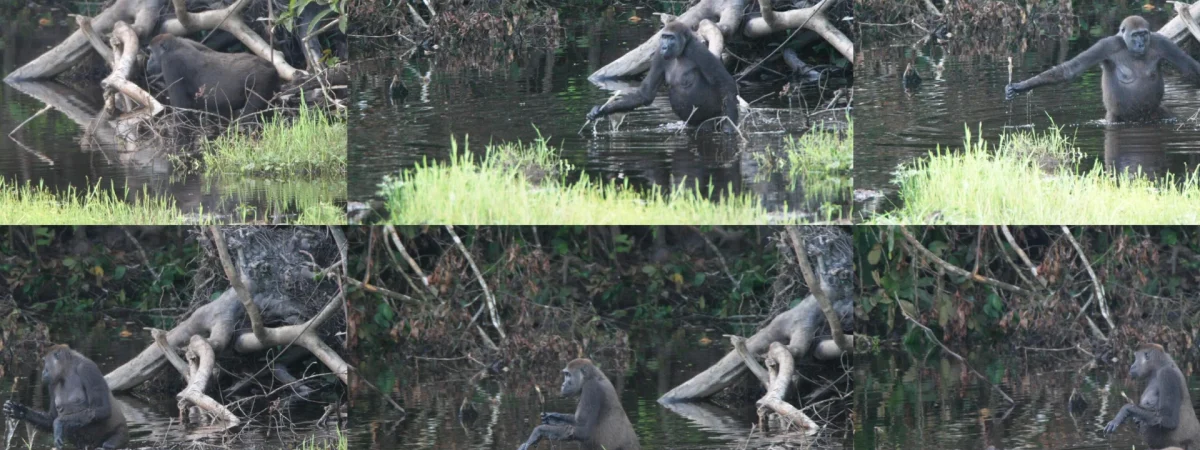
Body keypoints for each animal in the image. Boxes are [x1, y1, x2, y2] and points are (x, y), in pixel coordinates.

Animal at [148, 34, 280, 118]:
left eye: (151, 52)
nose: (148, 61)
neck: (175, 45)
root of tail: (271, 66)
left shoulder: (170, 63)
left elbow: (182, 109)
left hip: (263, 79)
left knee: (248, 114)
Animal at [587, 21, 739, 133]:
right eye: (664, 37)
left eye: (671, 38)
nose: (664, 47)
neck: (681, 51)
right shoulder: (658, 56)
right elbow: (645, 94)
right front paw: (602, 110)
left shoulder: (698, 51)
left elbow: (726, 84)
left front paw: (729, 128)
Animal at [1006, 15, 1200, 123]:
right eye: (1135, 35)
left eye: (1144, 34)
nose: (1140, 43)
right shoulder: (1106, 45)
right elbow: (1070, 69)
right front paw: (1021, 86)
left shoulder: (1162, 43)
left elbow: (1189, 66)